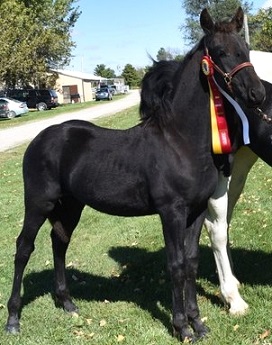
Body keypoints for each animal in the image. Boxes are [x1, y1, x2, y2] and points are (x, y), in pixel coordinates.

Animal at [5, 8, 266, 342]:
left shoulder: (195, 211)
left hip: (72, 205)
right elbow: (176, 264)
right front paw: (181, 327)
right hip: (39, 203)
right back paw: (13, 319)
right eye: (220, 52)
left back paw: (67, 303)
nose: (257, 93)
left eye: (245, 49)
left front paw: (198, 323)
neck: (180, 141)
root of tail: (40, 138)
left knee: (59, 241)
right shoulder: (171, 212)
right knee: (24, 248)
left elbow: (192, 263)